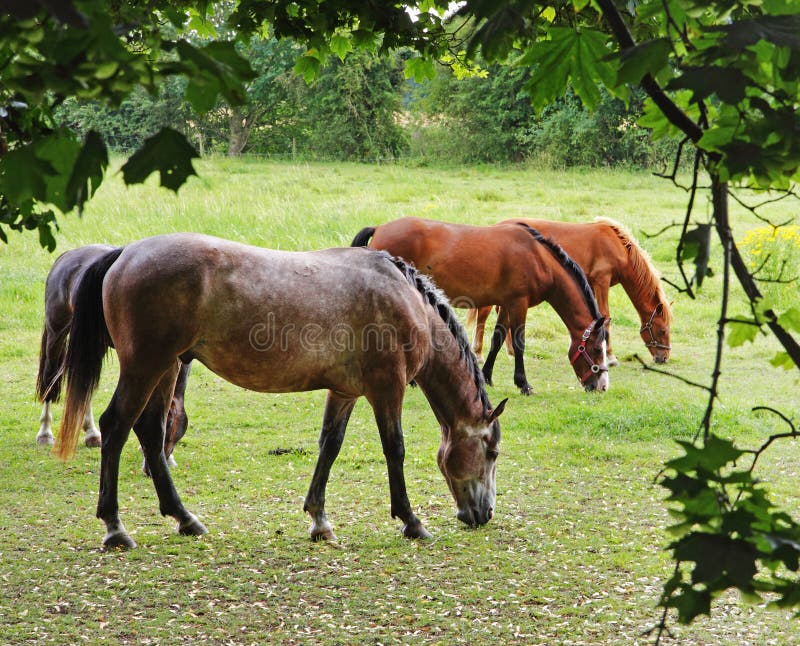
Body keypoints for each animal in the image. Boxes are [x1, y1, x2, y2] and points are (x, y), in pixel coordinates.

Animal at [35, 244, 190, 474]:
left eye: (172, 427)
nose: (149, 469)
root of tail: (66, 256)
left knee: (83, 385)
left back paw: (91, 434)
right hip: (57, 333)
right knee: (51, 380)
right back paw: (45, 433)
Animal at [54, 233, 506, 550]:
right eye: (492, 452)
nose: (484, 513)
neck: (404, 298)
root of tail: (124, 253)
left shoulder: (345, 392)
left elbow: (330, 446)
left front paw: (319, 521)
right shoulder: (386, 388)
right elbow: (394, 449)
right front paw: (412, 522)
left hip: (166, 368)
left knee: (150, 431)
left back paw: (185, 519)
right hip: (146, 366)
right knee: (116, 427)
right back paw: (115, 528)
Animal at [351, 217, 609, 395]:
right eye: (597, 349)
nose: (602, 386)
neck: (537, 257)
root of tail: (380, 228)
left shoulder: (506, 304)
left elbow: (498, 339)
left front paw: (487, 377)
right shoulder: (519, 303)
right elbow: (519, 342)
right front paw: (523, 384)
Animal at [468, 217, 672, 365]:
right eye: (662, 330)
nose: (663, 358)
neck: (617, 246)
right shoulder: (601, 282)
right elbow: (605, 316)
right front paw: (611, 357)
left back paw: (510, 350)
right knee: (484, 313)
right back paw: (478, 353)